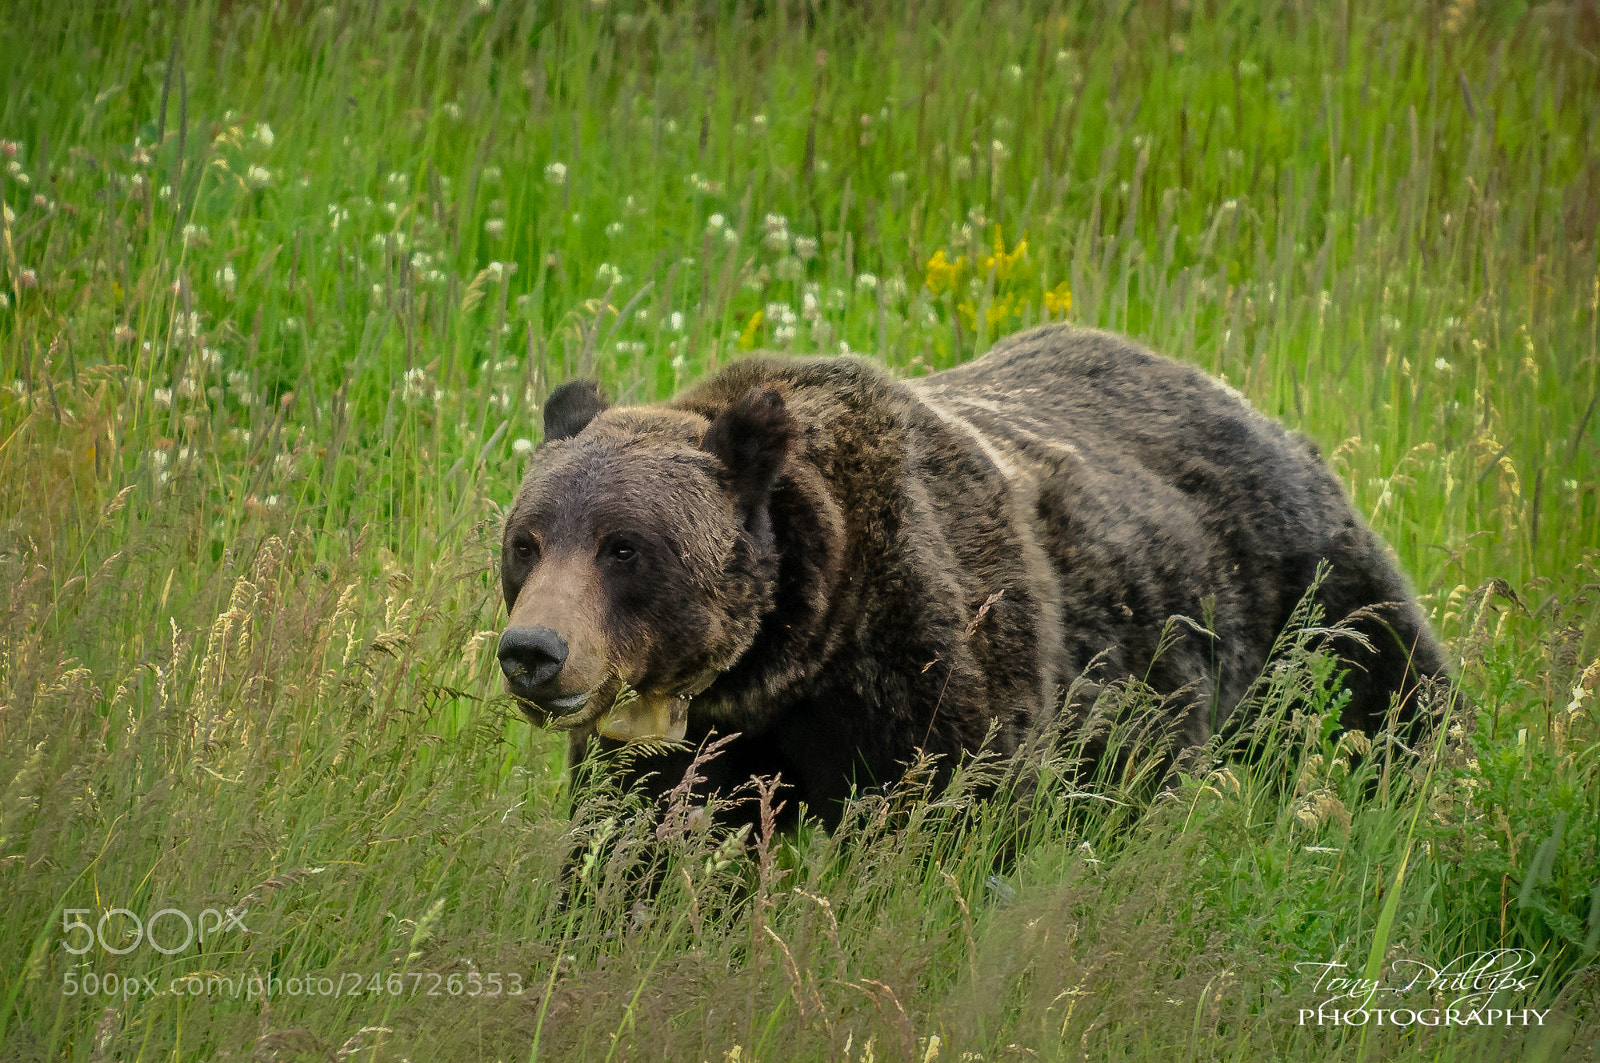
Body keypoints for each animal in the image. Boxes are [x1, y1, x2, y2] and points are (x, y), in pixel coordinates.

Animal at [497, 323, 1454, 834]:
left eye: (625, 546)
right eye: (526, 542)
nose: (534, 651)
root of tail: (1259, 410)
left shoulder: (935, 662)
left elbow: (954, 820)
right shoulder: (693, 743)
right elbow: (645, 848)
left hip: (1309, 603)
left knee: (1389, 708)